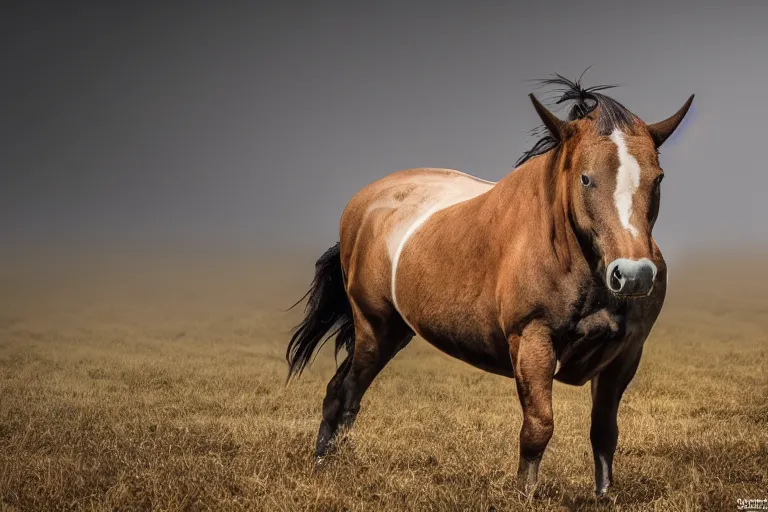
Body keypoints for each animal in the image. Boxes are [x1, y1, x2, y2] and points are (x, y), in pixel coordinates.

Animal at [284, 76, 692, 496]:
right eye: (586, 177)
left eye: (658, 178)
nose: (634, 274)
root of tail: (361, 204)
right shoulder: (531, 341)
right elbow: (538, 428)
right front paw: (525, 496)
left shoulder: (626, 353)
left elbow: (605, 432)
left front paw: (603, 496)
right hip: (373, 328)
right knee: (346, 393)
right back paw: (325, 467)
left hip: (396, 331)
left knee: (339, 390)